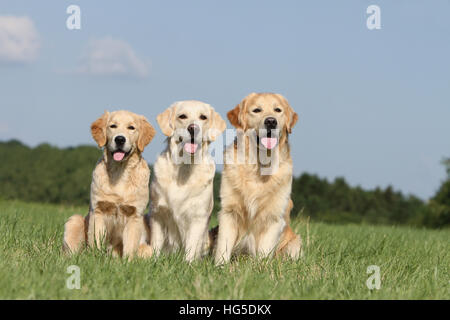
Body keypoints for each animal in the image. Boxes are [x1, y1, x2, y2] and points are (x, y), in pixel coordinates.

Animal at [62, 109, 155, 258]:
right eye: (113, 126)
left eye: (131, 127)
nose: (120, 139)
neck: (120, 171)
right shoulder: (98, 211)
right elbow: (96, 241)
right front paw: (95, 258)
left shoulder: (135, 215)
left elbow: (130, 247)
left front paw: (128, 262)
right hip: (74, 220)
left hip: (148, 248)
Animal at [147, 100, 225, 262]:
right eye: (182, 116)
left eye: (203, 117)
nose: (193, 128)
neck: (184, 168)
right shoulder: (157, 213)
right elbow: (156, 244)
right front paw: (154, 261)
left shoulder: (198, 217)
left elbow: (191, 247)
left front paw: (188, 264)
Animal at [214, 92, 302, 264]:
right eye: (256, 110)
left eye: (277, 110)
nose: (271, 121)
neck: (259, 166)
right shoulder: (229, 212)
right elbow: (223, 246)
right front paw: (219, 267)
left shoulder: (274, 217)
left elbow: (264, 251)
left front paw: (261, 268)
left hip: (295, 243)